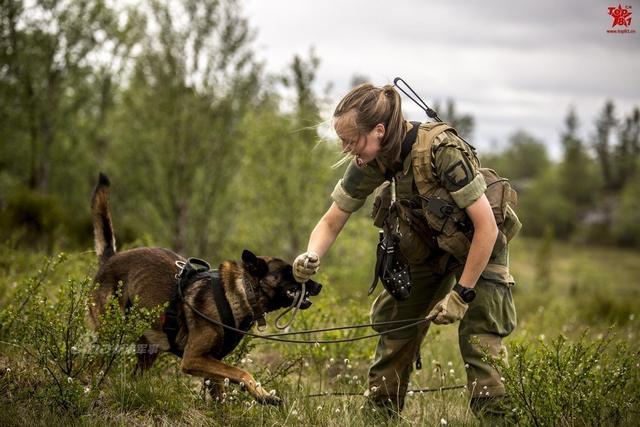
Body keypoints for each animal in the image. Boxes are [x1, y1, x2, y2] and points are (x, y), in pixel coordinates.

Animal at [88, 173, 322, 404]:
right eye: (290, 271)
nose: (319, 285)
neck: (239, 293)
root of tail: (111, 257)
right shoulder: (193, 358)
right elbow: (242, 372)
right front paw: (261, 394)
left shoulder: (213, 362)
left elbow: (222, 396)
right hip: (108, 336)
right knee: (93, 369)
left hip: (148, 348)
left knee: (135, 377)